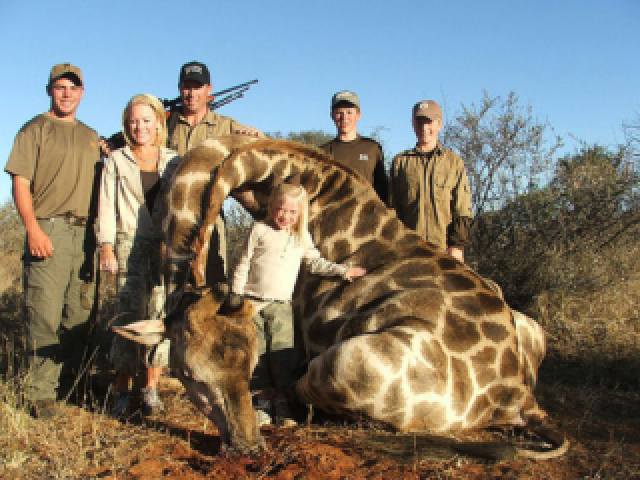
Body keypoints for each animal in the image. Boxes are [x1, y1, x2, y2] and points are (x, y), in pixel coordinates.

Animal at [164, 134, 564, 458]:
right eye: (192, 373)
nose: (244, 447)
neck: (320, 198)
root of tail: (520, 397)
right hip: (531, 324)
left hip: (345, 362)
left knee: (305, 390)